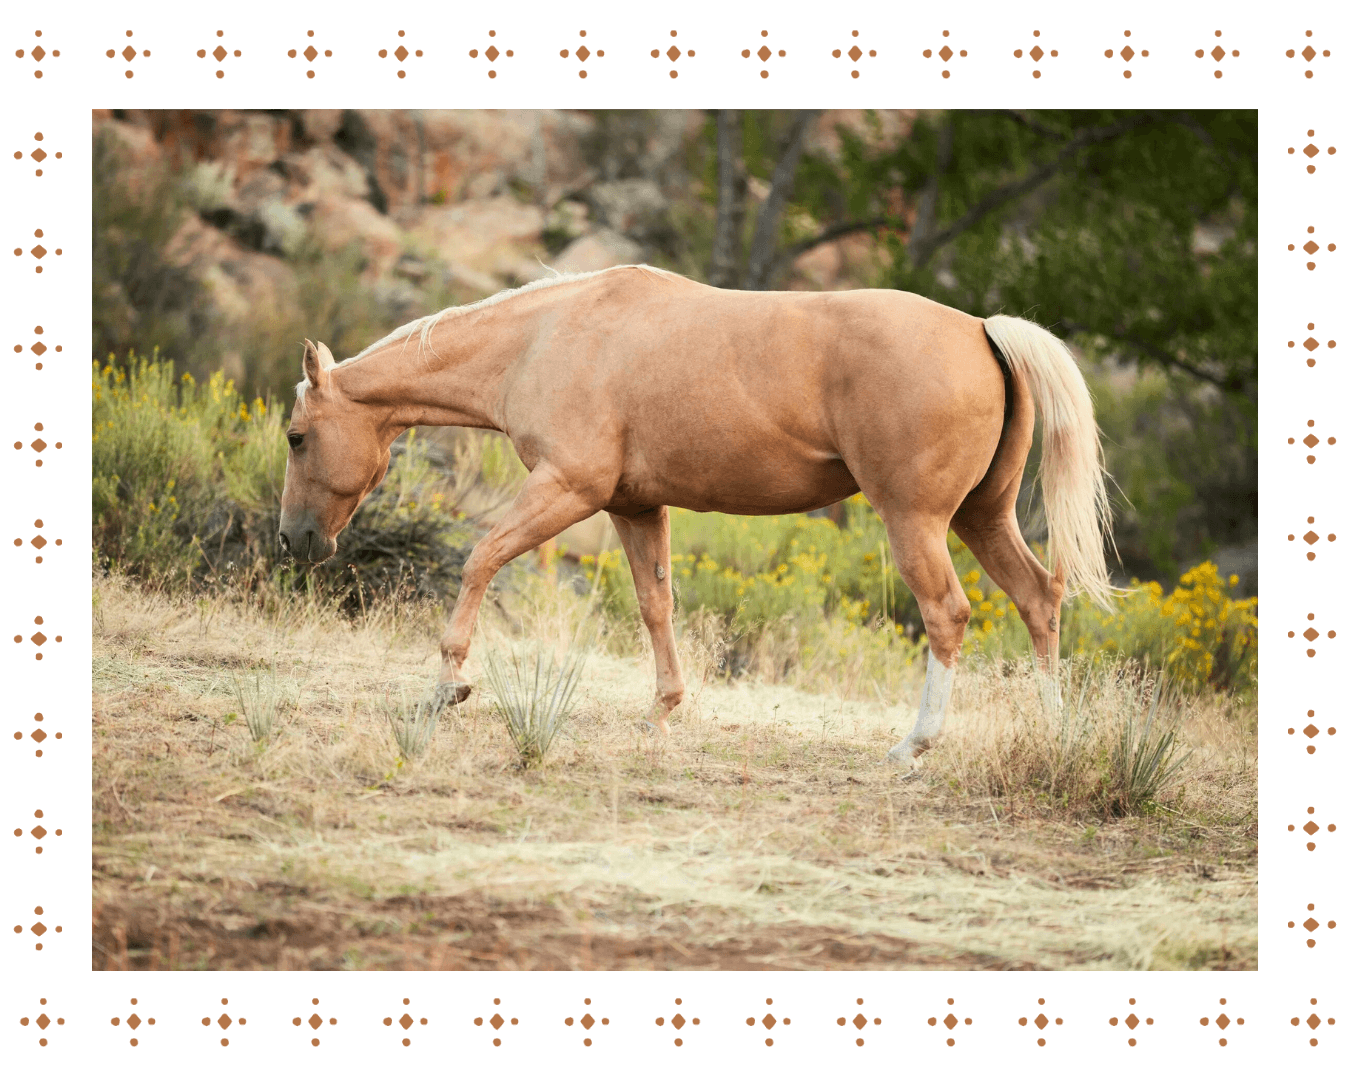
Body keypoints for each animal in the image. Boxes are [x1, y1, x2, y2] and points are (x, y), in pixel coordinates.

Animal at [278, 263, 1115, 770]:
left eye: (295, 437)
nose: (295, 539)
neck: (546, 336)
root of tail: (982, 328)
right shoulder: (634, 505)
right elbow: (657, 604)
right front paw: (663, 712)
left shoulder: (568, 488)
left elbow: (480, 558)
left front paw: (447, 684)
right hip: (983, 517)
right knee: (1039, 599)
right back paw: (1056, 733)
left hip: (915, 522)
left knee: (948, 613)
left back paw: (914, 744)